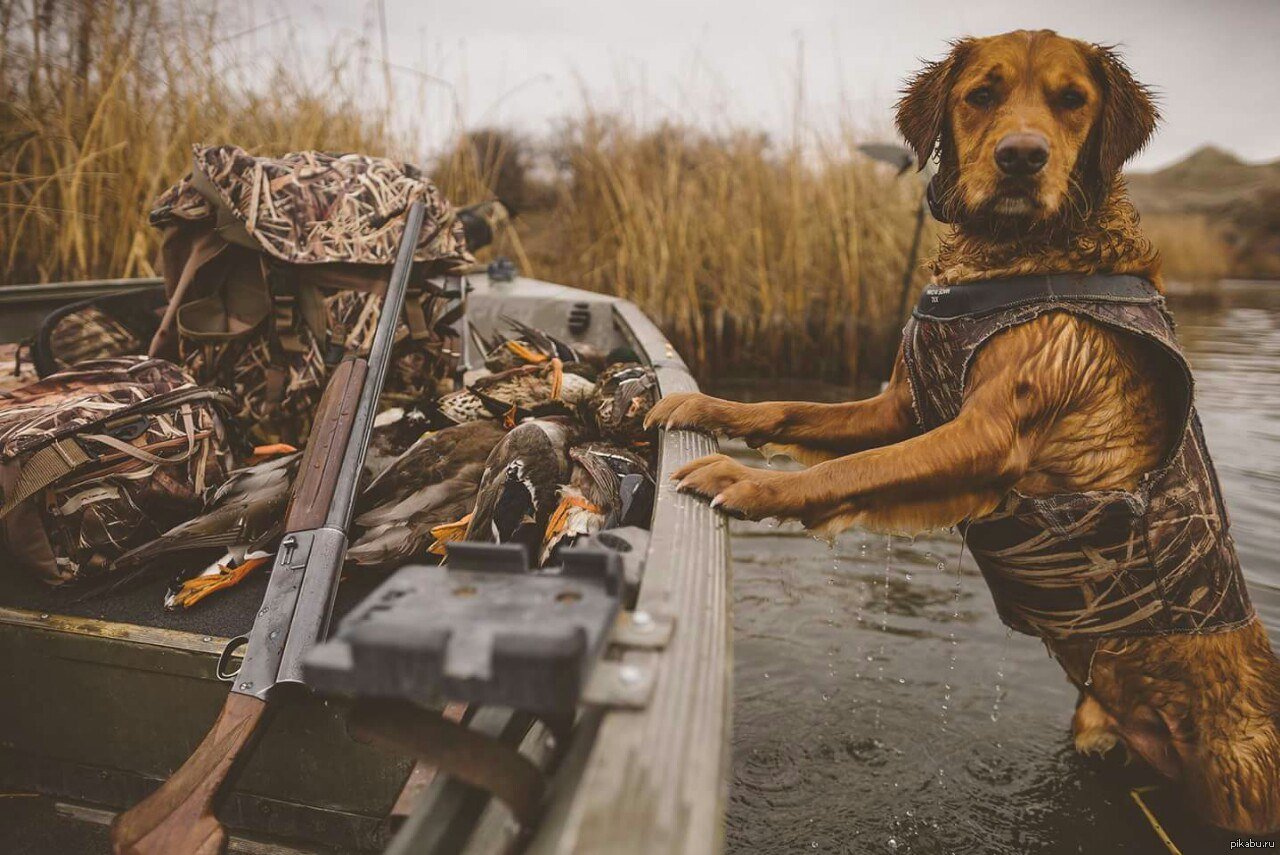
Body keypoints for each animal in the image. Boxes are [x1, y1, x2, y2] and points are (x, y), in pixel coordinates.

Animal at [645, 28, 1280, 834]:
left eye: (1072, 100)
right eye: (982, 94)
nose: (1021, 156)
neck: (1012, 257)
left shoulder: (987, 433)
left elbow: (842, 471)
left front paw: (745, 481)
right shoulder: (900, 408)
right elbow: (794, 413)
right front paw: (709, 410)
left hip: (1237, 785)